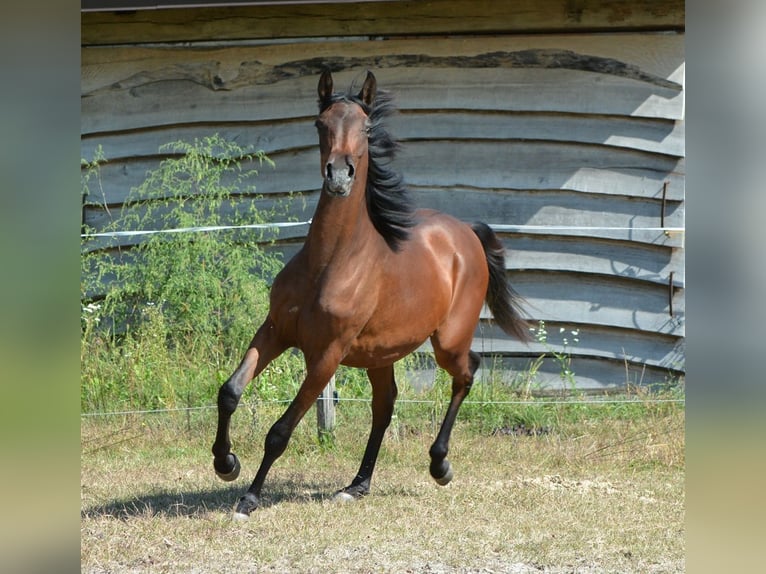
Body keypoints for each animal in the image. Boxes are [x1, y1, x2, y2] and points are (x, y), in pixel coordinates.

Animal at [213, 70, 532, 520]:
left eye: (365, 128)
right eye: (320, 124)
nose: (339, 176)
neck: (330, 263)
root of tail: (466, 233)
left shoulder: (326, 356)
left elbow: (280, 430)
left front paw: (249, 498)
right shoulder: (275, 331)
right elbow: (230, 392)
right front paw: (226, 463)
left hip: (448, 343)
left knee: (467, 371)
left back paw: (440, 465)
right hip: (380, 354)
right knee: (385, 406)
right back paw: (357, 485)